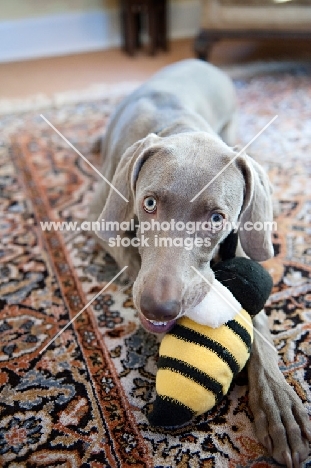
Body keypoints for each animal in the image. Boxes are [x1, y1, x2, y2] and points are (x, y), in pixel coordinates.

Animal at [88, 59, 311, 468]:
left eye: (216, 218)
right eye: (148, 203)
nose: (159, 307)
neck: (178, 126)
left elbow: (258, 320)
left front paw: (279, 405)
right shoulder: (98, 218)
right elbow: (132, 256)